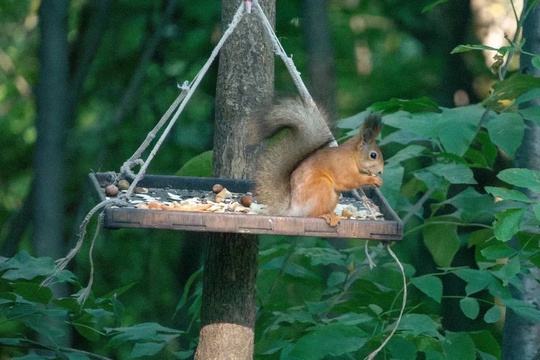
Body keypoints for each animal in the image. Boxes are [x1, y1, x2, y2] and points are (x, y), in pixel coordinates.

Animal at [254, 97, 384, 226]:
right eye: (373, 155)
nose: (381, 171)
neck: (352, 155)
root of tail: (295, 210)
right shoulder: (342, 164)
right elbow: (348, 179)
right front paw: (372, 180)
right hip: (322, 187)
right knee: (312, 215)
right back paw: (325, 215)